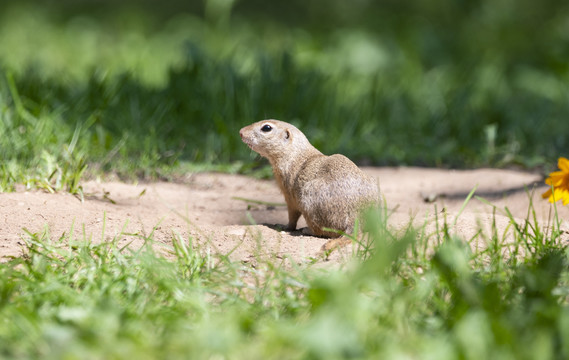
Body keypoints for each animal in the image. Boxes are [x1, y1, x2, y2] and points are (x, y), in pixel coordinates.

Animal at [240, 119, 378, 238]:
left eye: (266, 128)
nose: (240, 132)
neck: (296, 154)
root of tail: (355, 220)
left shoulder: (289, 193)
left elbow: (292, 215)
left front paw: (284, 226)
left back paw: (307, 230)